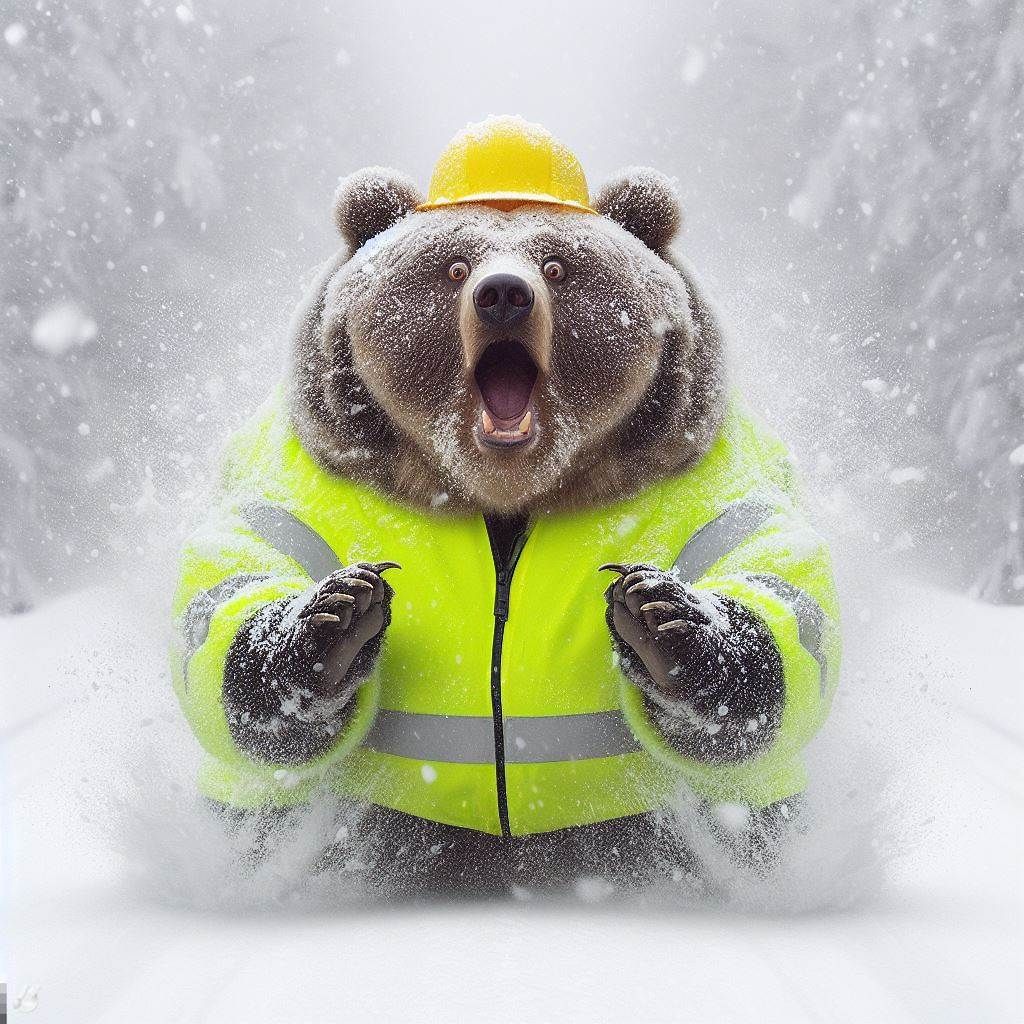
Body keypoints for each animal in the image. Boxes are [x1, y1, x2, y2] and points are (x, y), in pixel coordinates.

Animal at [173, 116, 840, 894]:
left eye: (557, 265)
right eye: (452, 266)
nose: (503, 295)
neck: (502, 492)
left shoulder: (698, 470)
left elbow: (783, 591)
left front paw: (663, 618)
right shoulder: (314, 473)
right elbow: (228, 589)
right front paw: (333, 618)